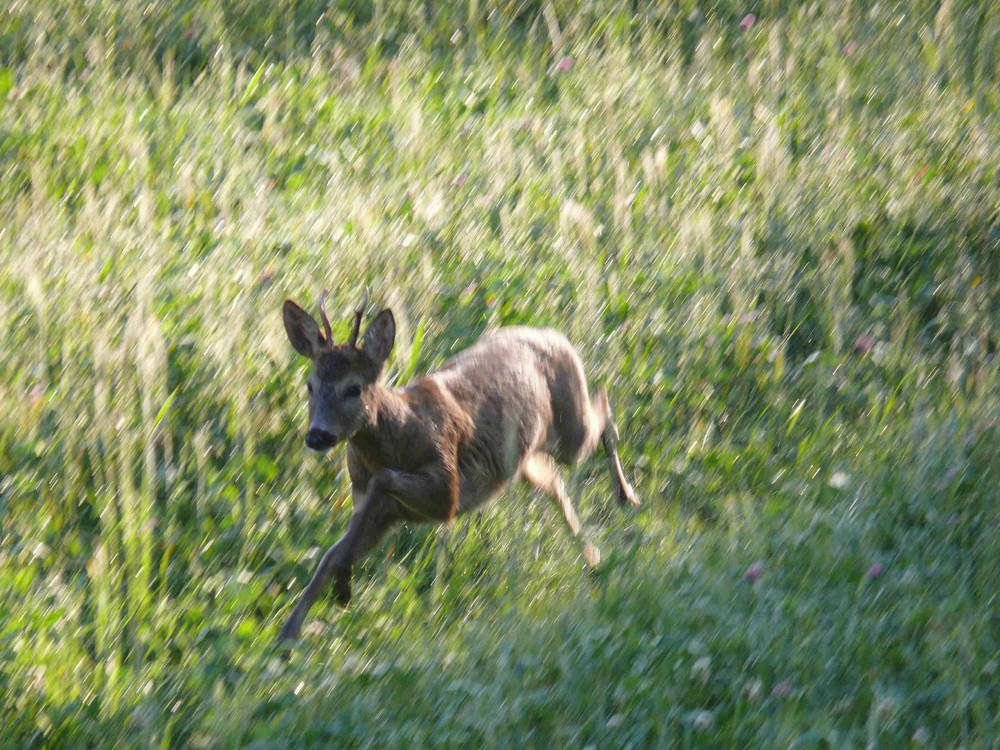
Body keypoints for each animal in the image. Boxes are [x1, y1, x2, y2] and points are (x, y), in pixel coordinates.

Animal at [278, 290, 636, 644]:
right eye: (310, 385)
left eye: (353, 388)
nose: (317, 435)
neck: (398, 437)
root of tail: (553, 334)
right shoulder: (380, 512)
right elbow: (331, 553)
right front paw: (289, 633)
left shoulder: (446, 488)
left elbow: (384, 482)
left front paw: (341, 588)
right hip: (524, 461)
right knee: (554, 481)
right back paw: (593, 556)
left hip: (569, 429)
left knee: (603, 407)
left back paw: (626, 497)